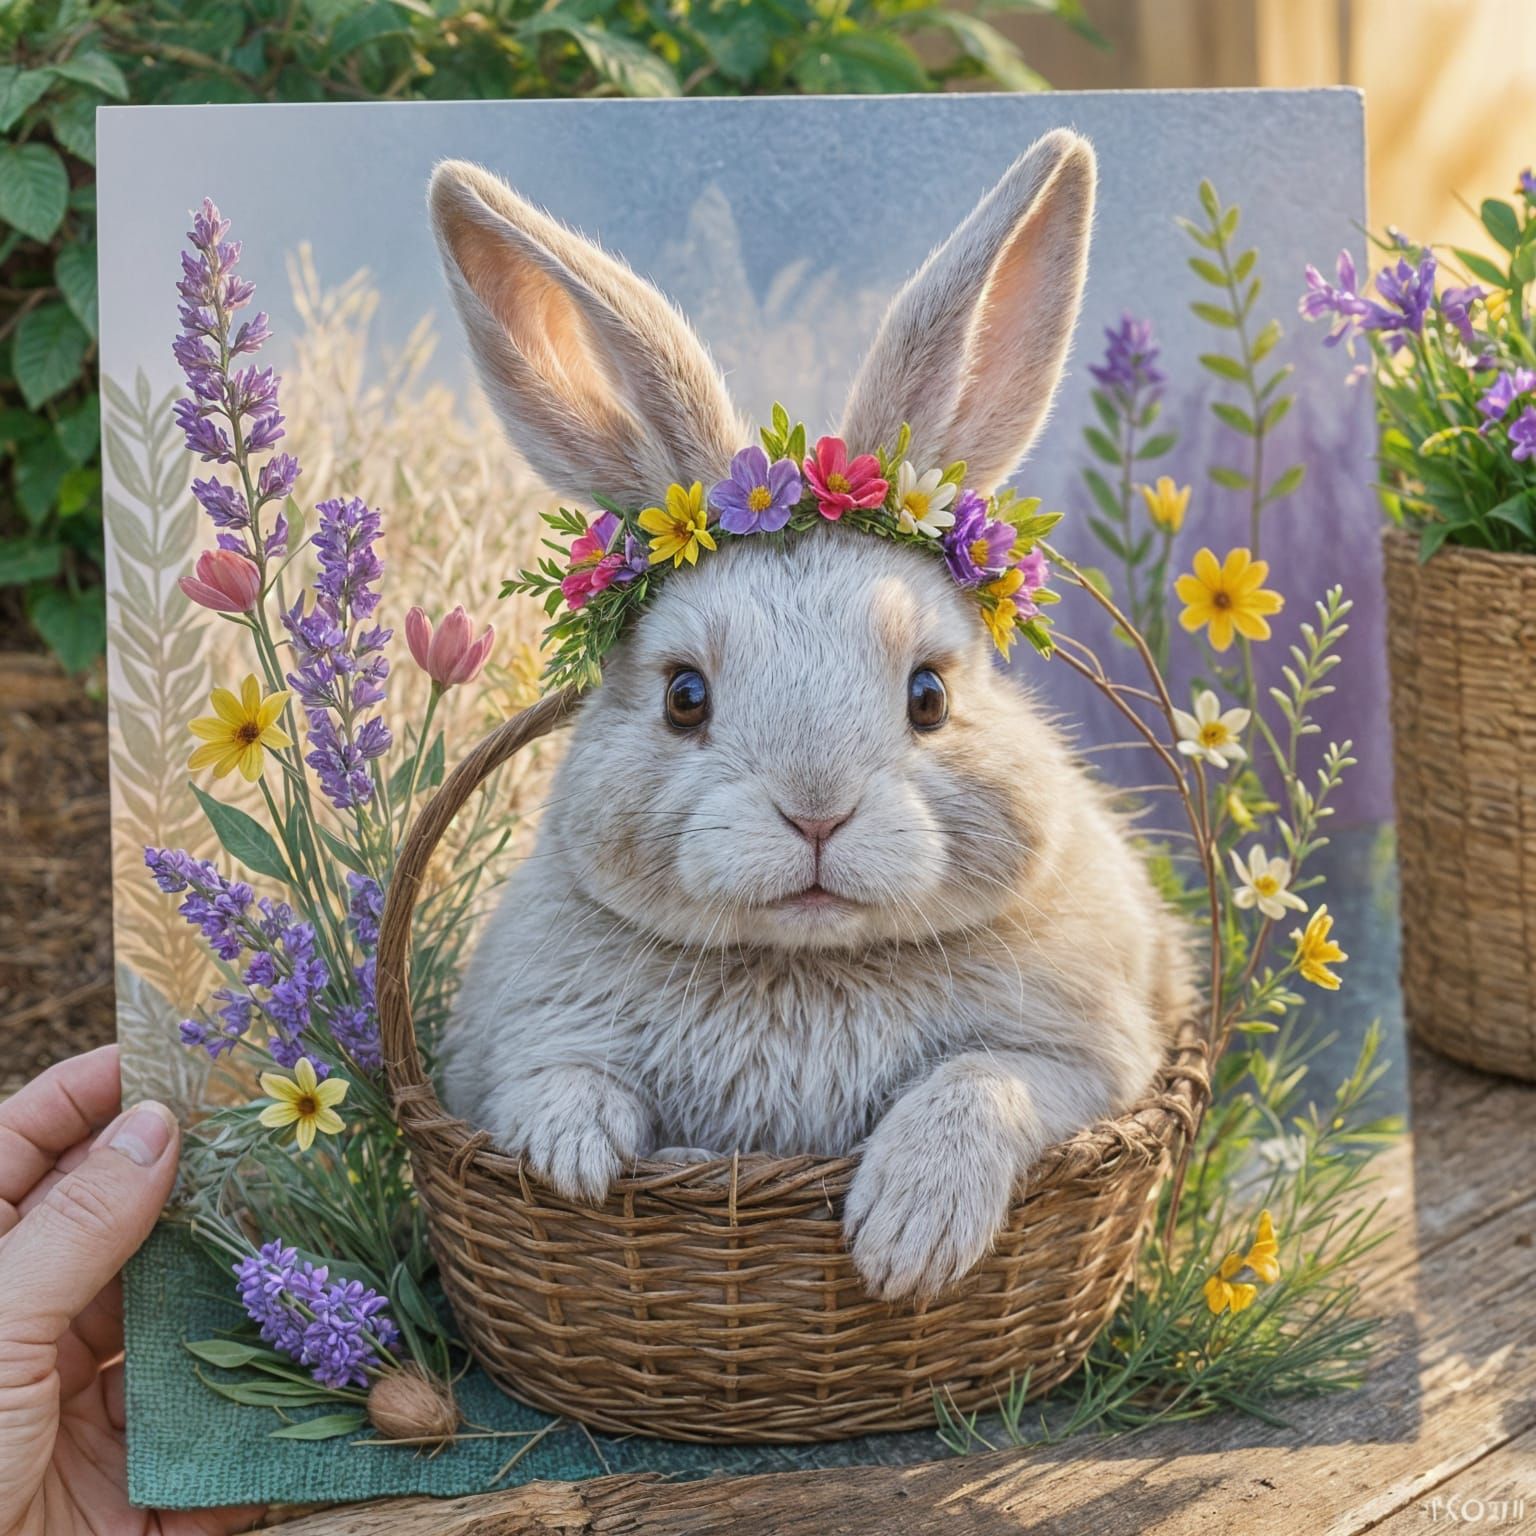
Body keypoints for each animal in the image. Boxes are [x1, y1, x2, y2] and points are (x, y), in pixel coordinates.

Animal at [429, 129, 1194, 1301]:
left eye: (930, 695)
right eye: (683, 696)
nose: (817, 814)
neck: (807, 960)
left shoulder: (1083, 1064)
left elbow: (982, 1080)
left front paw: (908, 1242)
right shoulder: (508, 1047)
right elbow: (554, 1076)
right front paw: (573, 1160)